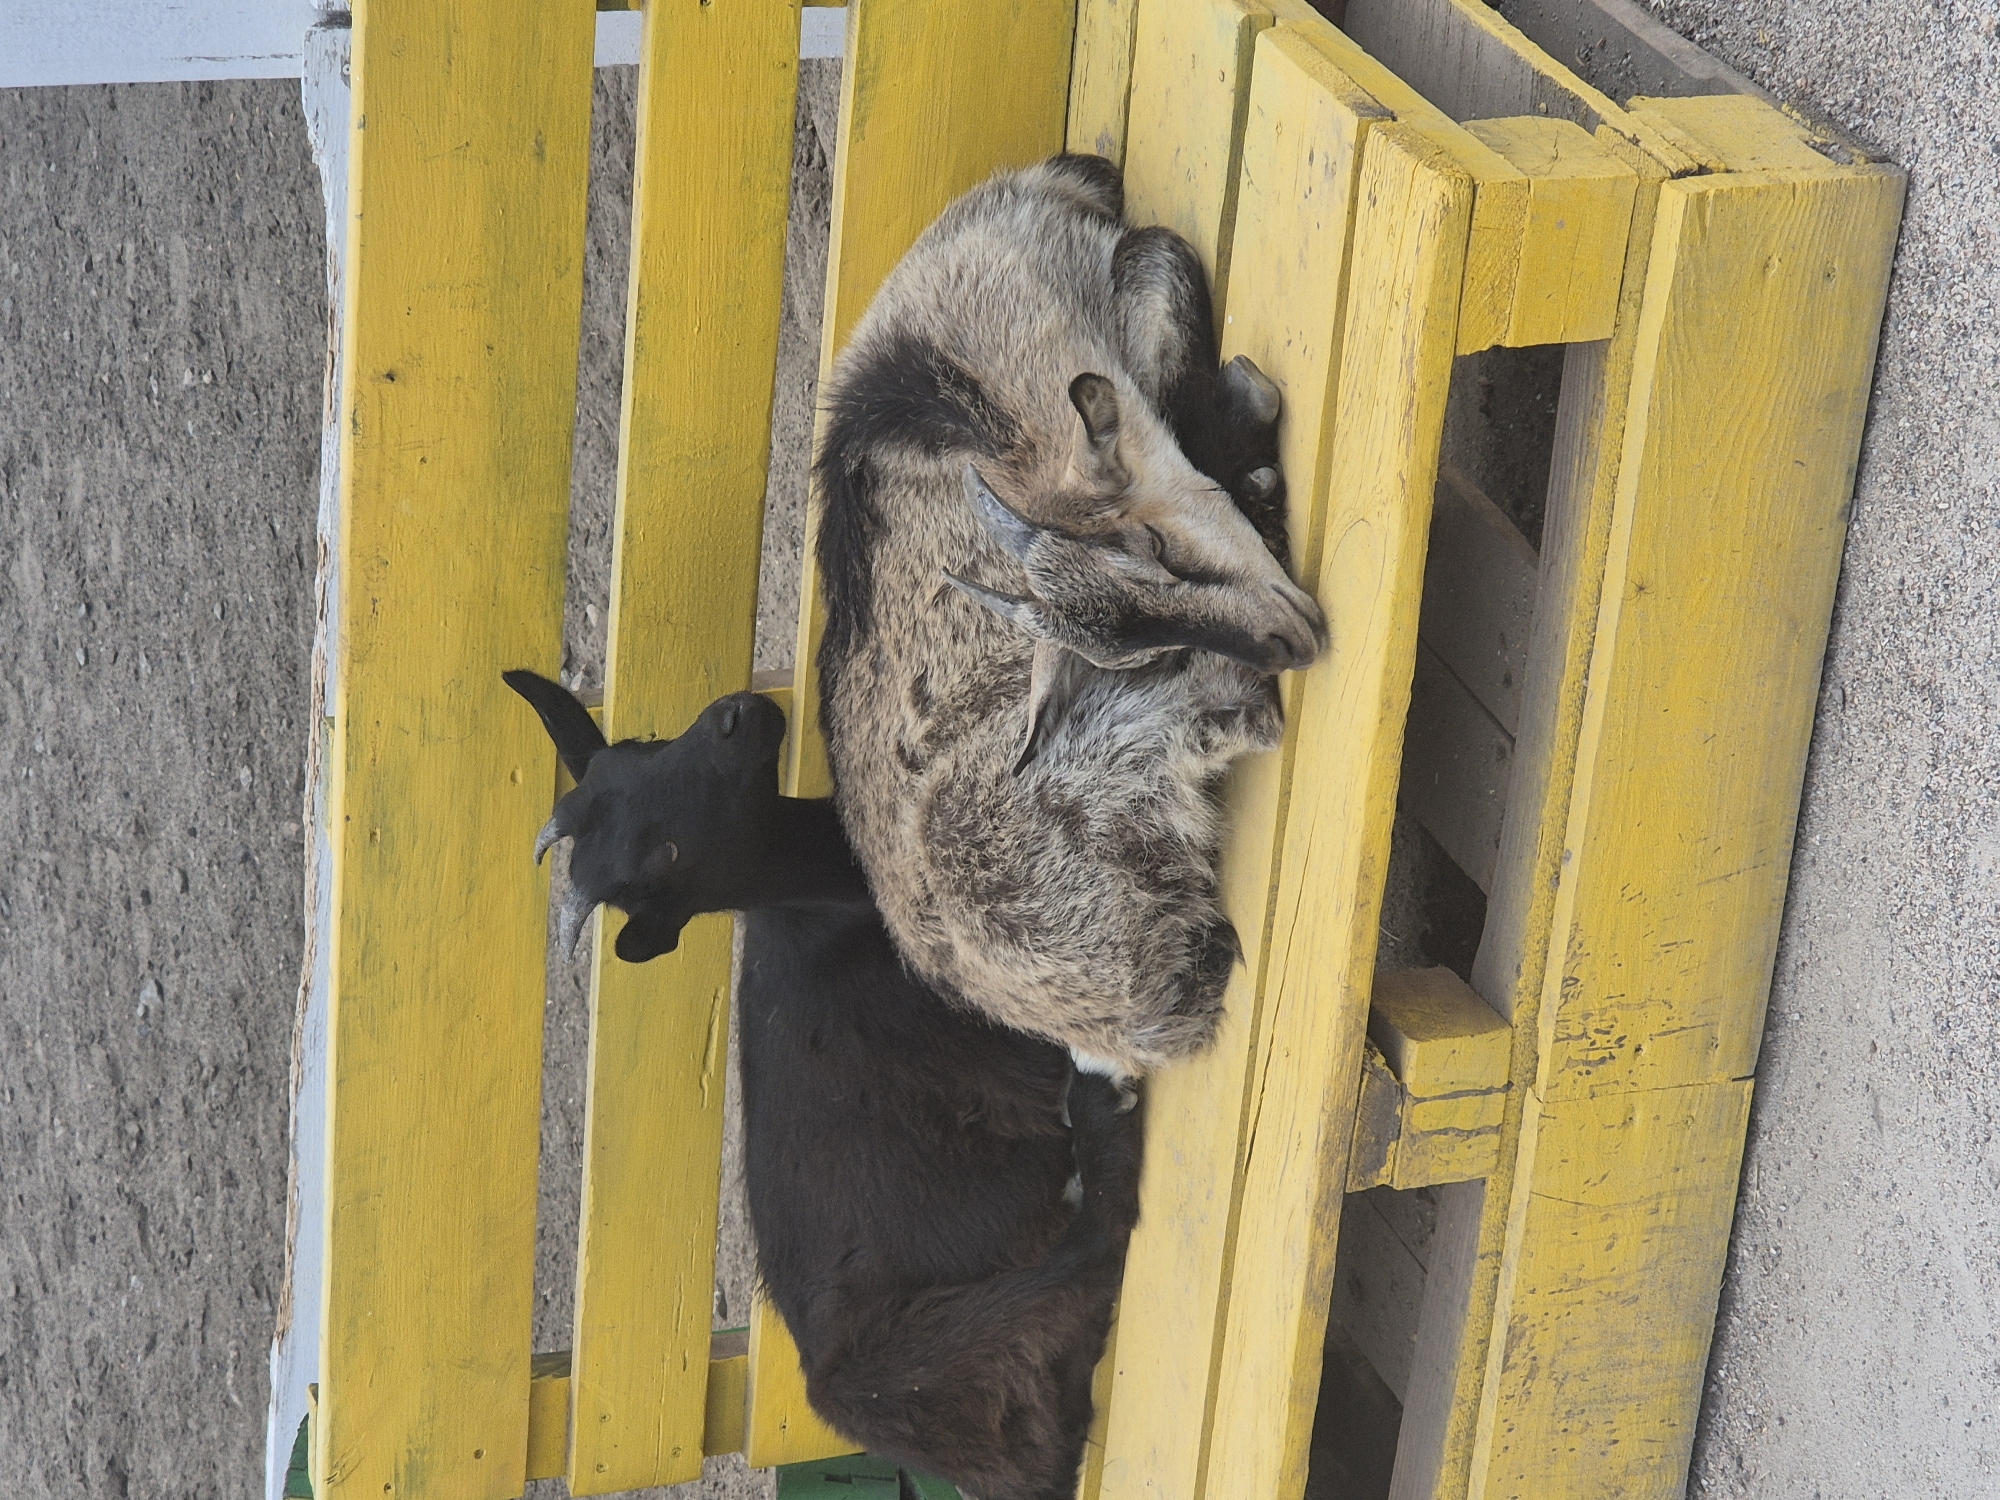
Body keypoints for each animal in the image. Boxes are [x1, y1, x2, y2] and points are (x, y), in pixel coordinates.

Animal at [507, 670, 1145, 1500]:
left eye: (639, 749)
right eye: (664, 855)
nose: (733, 717)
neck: (825, 894)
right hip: (964, 1336)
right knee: (1096, 1245)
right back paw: (1103, 1101)